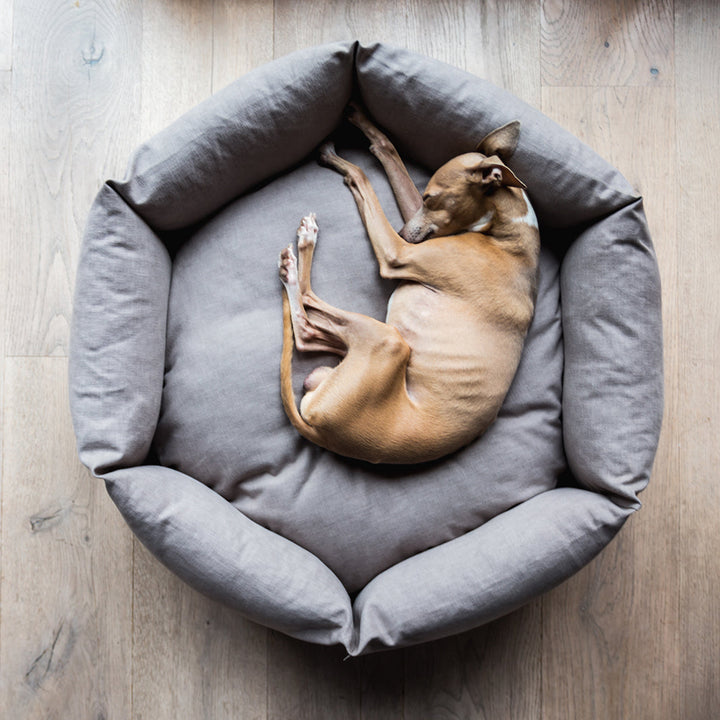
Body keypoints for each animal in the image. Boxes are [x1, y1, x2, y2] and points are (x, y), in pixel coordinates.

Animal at [278, 107, 536, 466]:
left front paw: (339, 159)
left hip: (388, 342)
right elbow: (389, 152)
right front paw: (363, 122)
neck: (510, 230)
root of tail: (320, 428)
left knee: (305, 314)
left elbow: (361, 176)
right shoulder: (416, 230)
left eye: (432, 198)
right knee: (310, 332)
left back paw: (300, 251)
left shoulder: (397, 254)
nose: (401, 230)